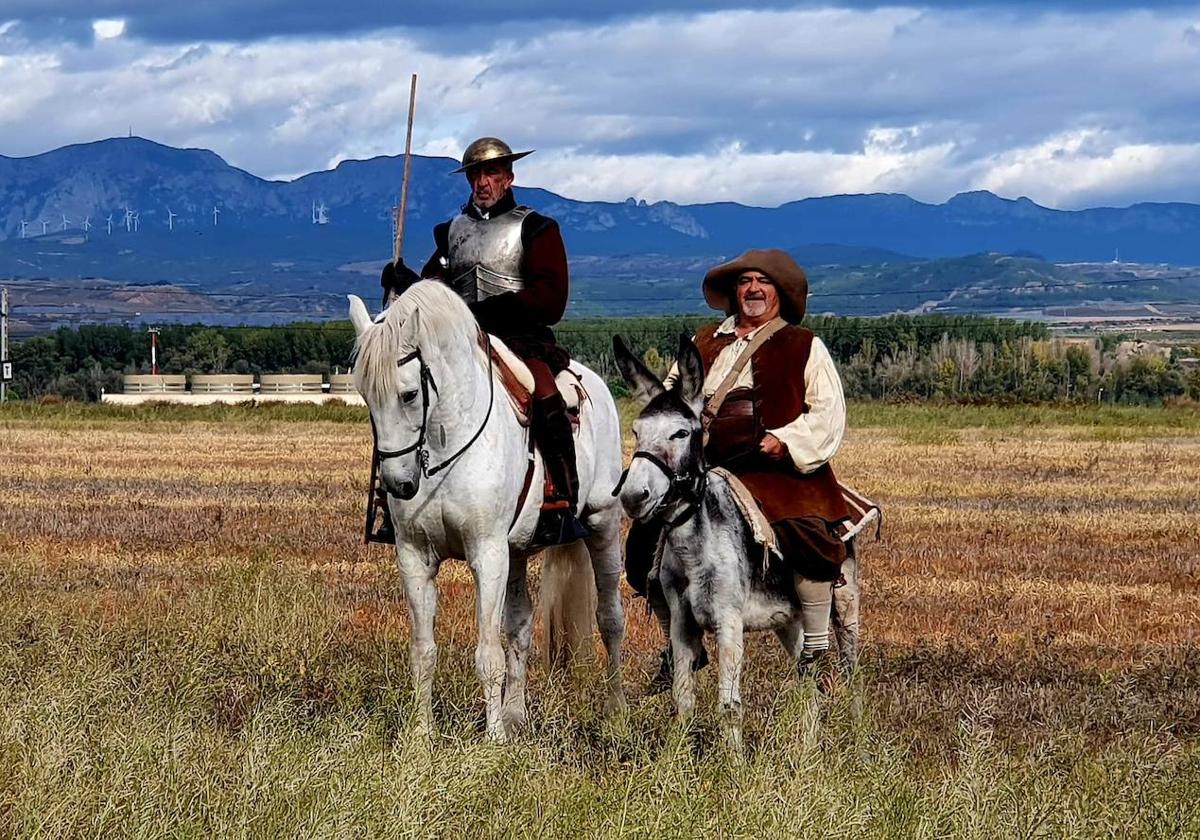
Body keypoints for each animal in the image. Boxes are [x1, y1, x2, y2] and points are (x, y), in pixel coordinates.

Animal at [350, 284, 624, 739]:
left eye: (409, 394)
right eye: (366, 396)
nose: (398, 485)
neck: (447, 447)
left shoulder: (487, 553)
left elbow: (487, 653)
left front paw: (492, 738)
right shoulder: (415, 556)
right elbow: (423, 650)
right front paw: (421, 735)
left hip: (602, 524)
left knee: (610, 618)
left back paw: (614, 708)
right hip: (518, 551)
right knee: (521, 627)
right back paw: (515, 714)